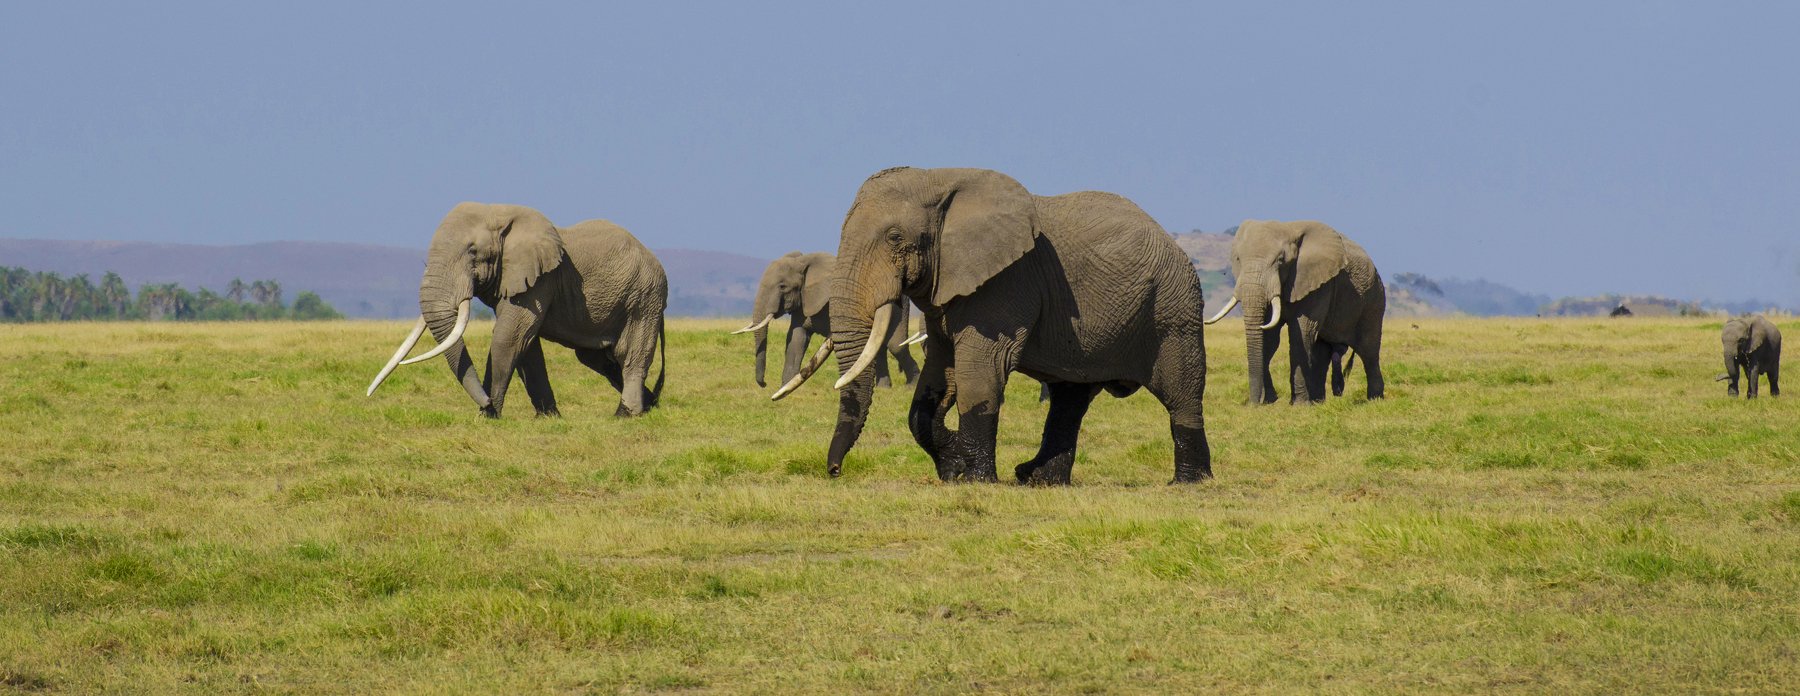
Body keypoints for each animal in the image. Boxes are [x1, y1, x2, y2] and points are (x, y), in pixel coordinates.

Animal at [365, 203, 669, 419]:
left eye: (473, 252)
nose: (486, 402)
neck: (499, 213)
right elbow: (526, 346)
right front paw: (548, 418)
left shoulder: (540, 280)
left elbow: (508, 338)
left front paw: (488, 416)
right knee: (598, 359)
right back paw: (650, 405)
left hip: (643, 297)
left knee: (630, 353)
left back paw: (626, 414)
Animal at [734, 249, 921, 392]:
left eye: (782, 286)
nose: (764, 384)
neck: (804, 262)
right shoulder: (803, 302)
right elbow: (796, 338)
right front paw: (786, 387)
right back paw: (883, 389)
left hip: (897, 308)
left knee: (895, 345)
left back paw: (911, 387)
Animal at [777, 167, 1209, 485]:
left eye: (896, 237)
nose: (834, 471)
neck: (942, 179)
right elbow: (937, 378)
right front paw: (954, 468)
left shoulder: (1008, 281)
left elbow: (980, 372)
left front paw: (976, 479)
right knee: (1070, 399)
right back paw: (1037, 479)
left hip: (1173, 308)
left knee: (1181, 392)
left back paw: (1189, 482)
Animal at [1202, 221, 1382, 406]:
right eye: (1238, 259)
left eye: (1280, 260)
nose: (1252, 404)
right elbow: (1269, 338)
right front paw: (1270, 401)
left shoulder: (1318, 283)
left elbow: (1300, 334)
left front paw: (1298, 405)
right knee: (1323, 350)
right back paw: (1318, 402)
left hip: (1373, 299)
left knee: (1368, 350)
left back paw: (1374, 399)